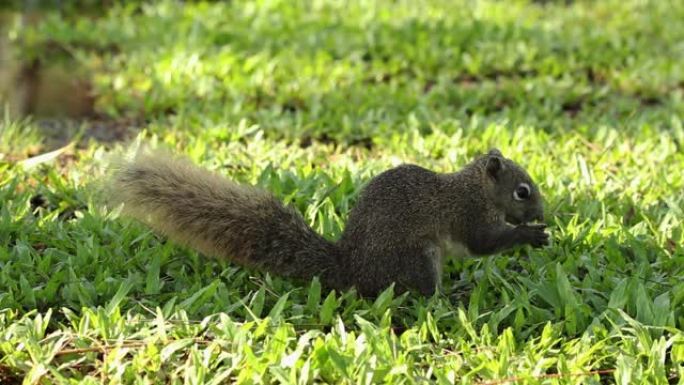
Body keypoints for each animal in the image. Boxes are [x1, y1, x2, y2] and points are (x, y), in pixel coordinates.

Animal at [108, 147, 552, 294]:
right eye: (522, 192)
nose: (543, 214)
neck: (475, 188)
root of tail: (351, 269)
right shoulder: (468, 215)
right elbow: (485, 243)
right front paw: (530, 235)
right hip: (418, 258)